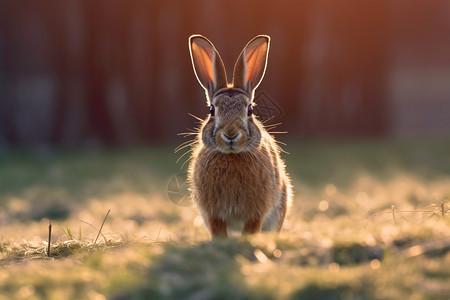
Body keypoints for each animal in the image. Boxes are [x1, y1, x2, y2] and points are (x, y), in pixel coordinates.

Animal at [186, 34, 292, 238]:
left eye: (250, 110)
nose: (230, 134)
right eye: (212, 110)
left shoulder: (255, 213)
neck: (232, 156)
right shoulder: (214, 215)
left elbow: (251, 229)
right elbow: (218, 231)